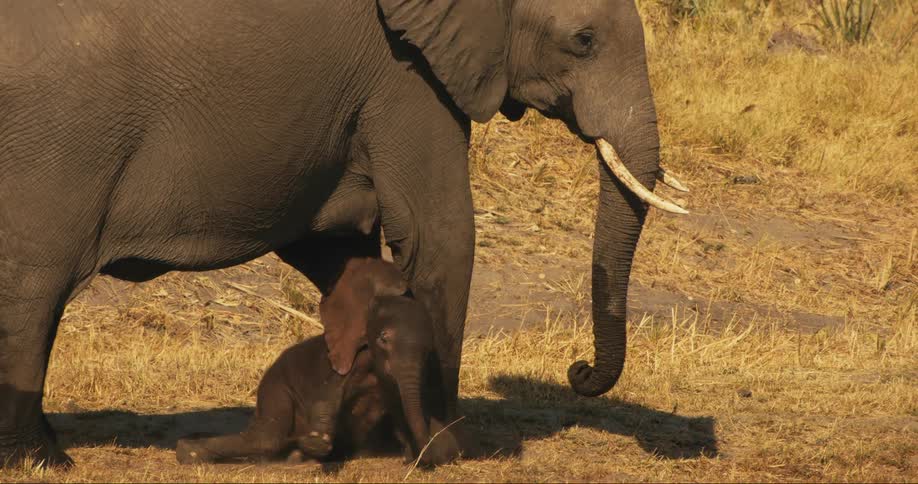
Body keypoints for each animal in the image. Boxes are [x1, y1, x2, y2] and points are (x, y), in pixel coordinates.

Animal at [175, 257, 459, 466]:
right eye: (383, 339)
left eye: (428, 350)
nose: (419, 457)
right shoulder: (345, 361)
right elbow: (328, 394)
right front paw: (316, 439)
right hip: (274, 386)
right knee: (265, 438)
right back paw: (188, 451)